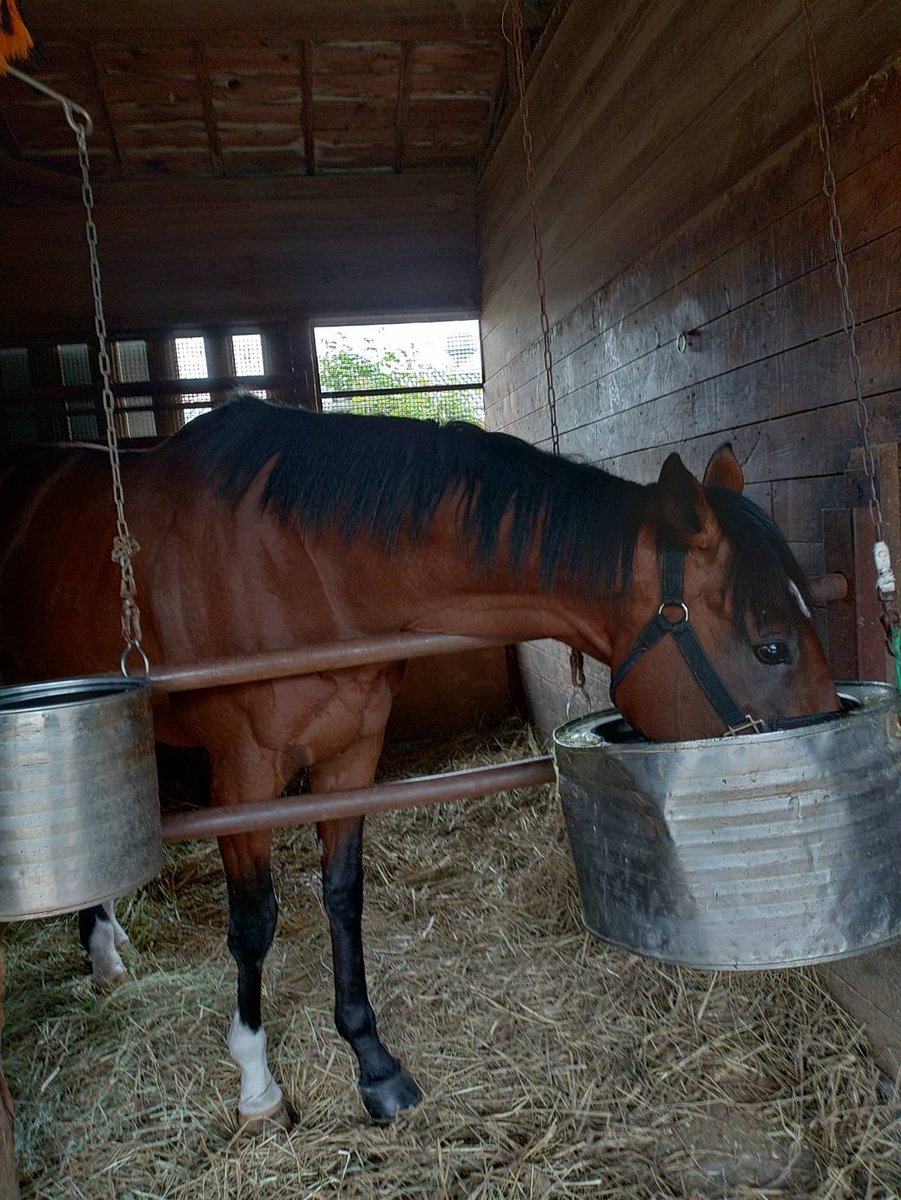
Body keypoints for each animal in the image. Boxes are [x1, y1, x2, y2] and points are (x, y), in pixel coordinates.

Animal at [0, 398, 839, 1128]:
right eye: (770, 645)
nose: (830, 754)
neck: (299, 565)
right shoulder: (244, 776)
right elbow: (254, 923)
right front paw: (258, 1085)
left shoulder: (350, 755)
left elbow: (342, 898)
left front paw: (373, 1065)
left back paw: (106, 946)